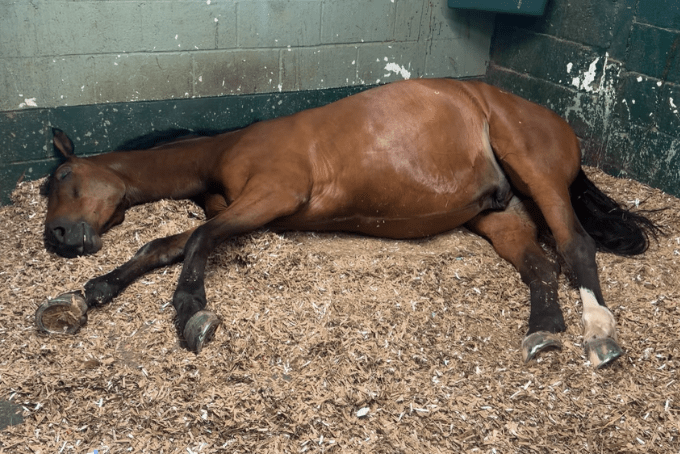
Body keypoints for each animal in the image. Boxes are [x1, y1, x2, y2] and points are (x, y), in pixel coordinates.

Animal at [36, 78, 659, 368]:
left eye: (63, 176)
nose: (58, 239)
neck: (224, 150)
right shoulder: (251, 212)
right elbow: (166, 244)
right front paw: (87, 295)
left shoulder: (271, 196)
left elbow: (196, 241)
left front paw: (191, 311)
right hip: (500, 213)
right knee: (539, 264)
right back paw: (545, 331)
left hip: (536, 174)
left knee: (575, 245)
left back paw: (598, 335)